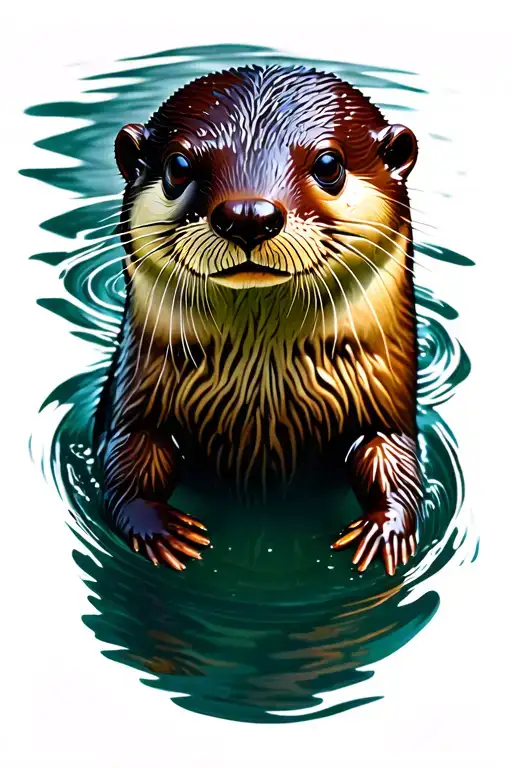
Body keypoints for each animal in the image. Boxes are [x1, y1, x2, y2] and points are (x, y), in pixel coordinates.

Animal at [95, 65, 422, 577]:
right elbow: (129, 456)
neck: (262, 404)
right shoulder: (137, 394)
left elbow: (392, 457)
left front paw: (383, 529)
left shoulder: (385, 400)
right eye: (178, 167)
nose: (248, 214)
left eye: (329, 165)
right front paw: (157, 526)